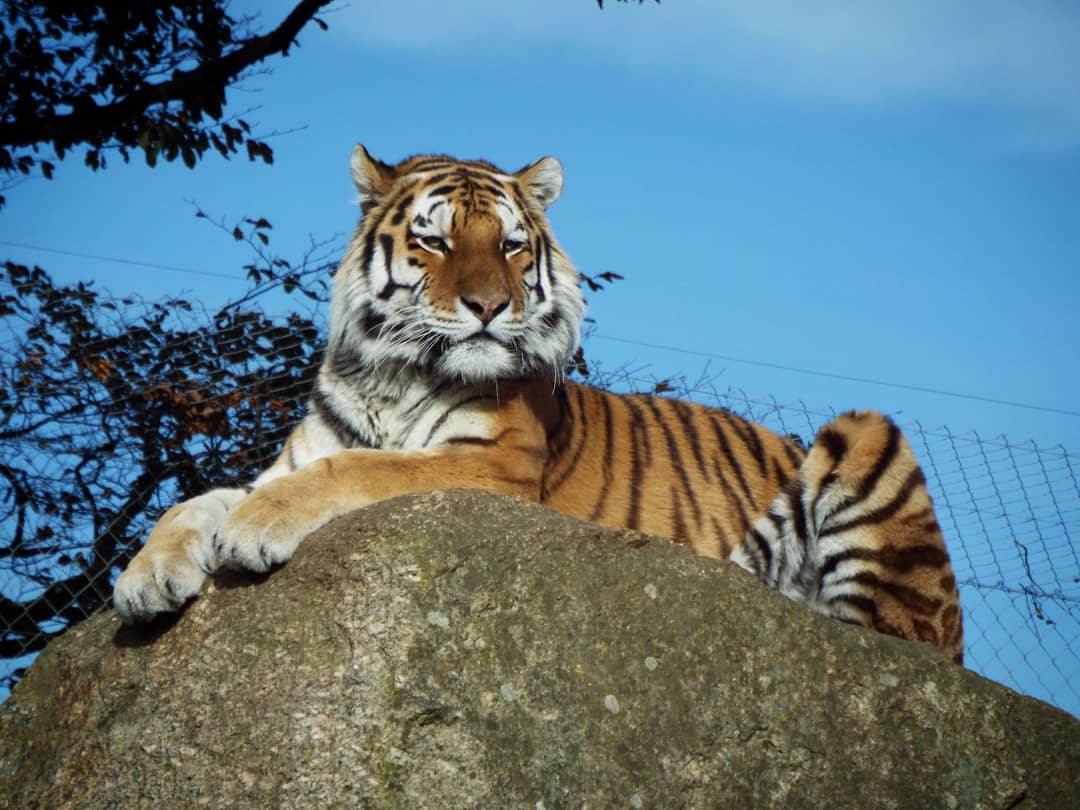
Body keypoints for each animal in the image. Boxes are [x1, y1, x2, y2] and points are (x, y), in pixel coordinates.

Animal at [114, 145, 964, 664]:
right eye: (435, 241)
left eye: (513, 244)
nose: (491, 306)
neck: (391, 374)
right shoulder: (292, 457)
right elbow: (195, 500)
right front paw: (145, 578)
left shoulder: (491, 469)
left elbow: (361, 470)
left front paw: (256, 528)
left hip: (870, 440)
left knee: (892, 639)